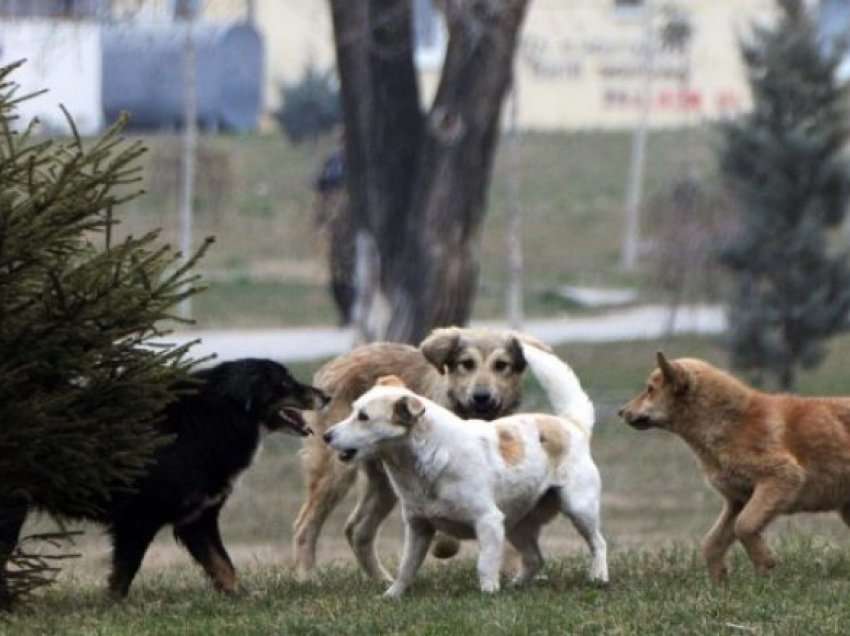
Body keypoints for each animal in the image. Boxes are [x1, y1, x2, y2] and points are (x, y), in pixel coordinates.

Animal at [0, 360, 328, 600]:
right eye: (284, 382)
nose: (326, 396)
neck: (212, 419)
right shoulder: (138, 519)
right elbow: (124, 572)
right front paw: (115, 606)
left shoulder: (196, 519)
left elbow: (223, 565)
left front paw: (242, 597)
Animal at [290, 328, 544, 580]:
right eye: (467, 364)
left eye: (501, 365)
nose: (482, 397)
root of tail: (336, 362)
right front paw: (445, 545)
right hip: (335, 473)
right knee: (306, 525)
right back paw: (308, 576)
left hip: (384, 484)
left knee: (357, 530)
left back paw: (381, 579)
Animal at [322, 342, 608, 596]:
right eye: (353, 411)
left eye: (363, 417)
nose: (326, 435)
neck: (426, 461)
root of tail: (571, 425)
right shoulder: (418, 528)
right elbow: (406, 567)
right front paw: (392, 595)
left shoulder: (488, 522)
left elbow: (484, 565)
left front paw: (489, 593)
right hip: (517, 525)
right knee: (535, 559)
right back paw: (517, 585)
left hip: (578, 508)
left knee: (598, 543)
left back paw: (598, 577)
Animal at [620, 352, 848, 580]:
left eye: (650, 389)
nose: (620, 412)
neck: (728, 421)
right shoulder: (737, 501)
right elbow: (711, 544)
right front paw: (719, 581)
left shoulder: (782, 477)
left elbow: (744, 526)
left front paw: (765, 564)